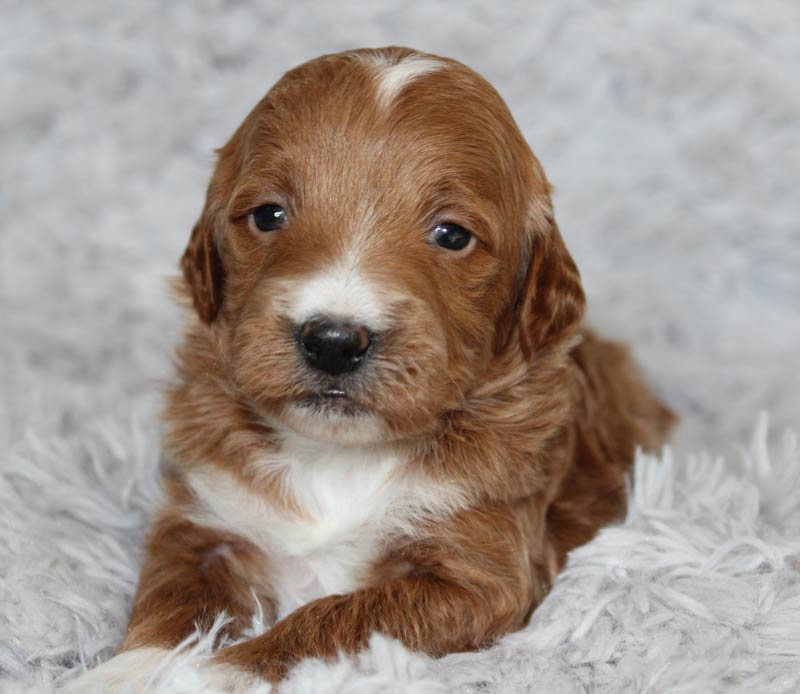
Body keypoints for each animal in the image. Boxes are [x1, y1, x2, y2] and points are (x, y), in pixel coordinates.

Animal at [67, 47, 676, 692]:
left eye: (452, 234)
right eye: (268, 215)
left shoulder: (476, 576)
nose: (333, 342)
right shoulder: (206, 521)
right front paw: (129, 673)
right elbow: (173, 601)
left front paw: (209, 674)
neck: (338, 455)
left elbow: (331, 620)